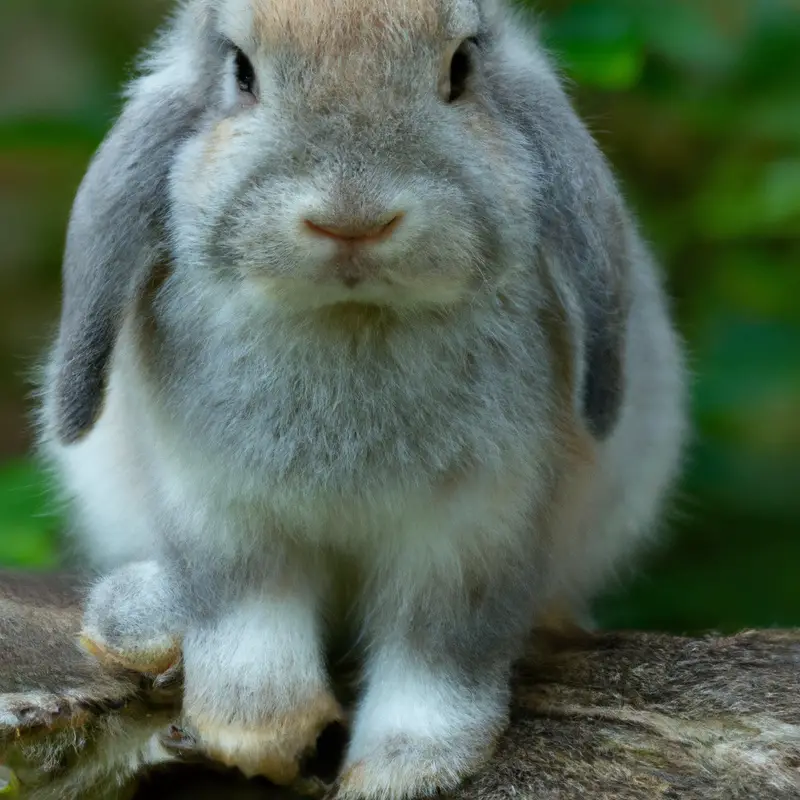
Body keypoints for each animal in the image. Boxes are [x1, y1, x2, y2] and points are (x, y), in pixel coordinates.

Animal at [36, 1, 688, 792]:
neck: (351, 315)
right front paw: (254, 734)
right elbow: (246, 619)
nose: (353, 219)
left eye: (461, 68)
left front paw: (400, 772)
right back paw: (138, 627)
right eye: (242, 72)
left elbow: (437, 654)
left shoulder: (476, 531)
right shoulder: (222, 513)